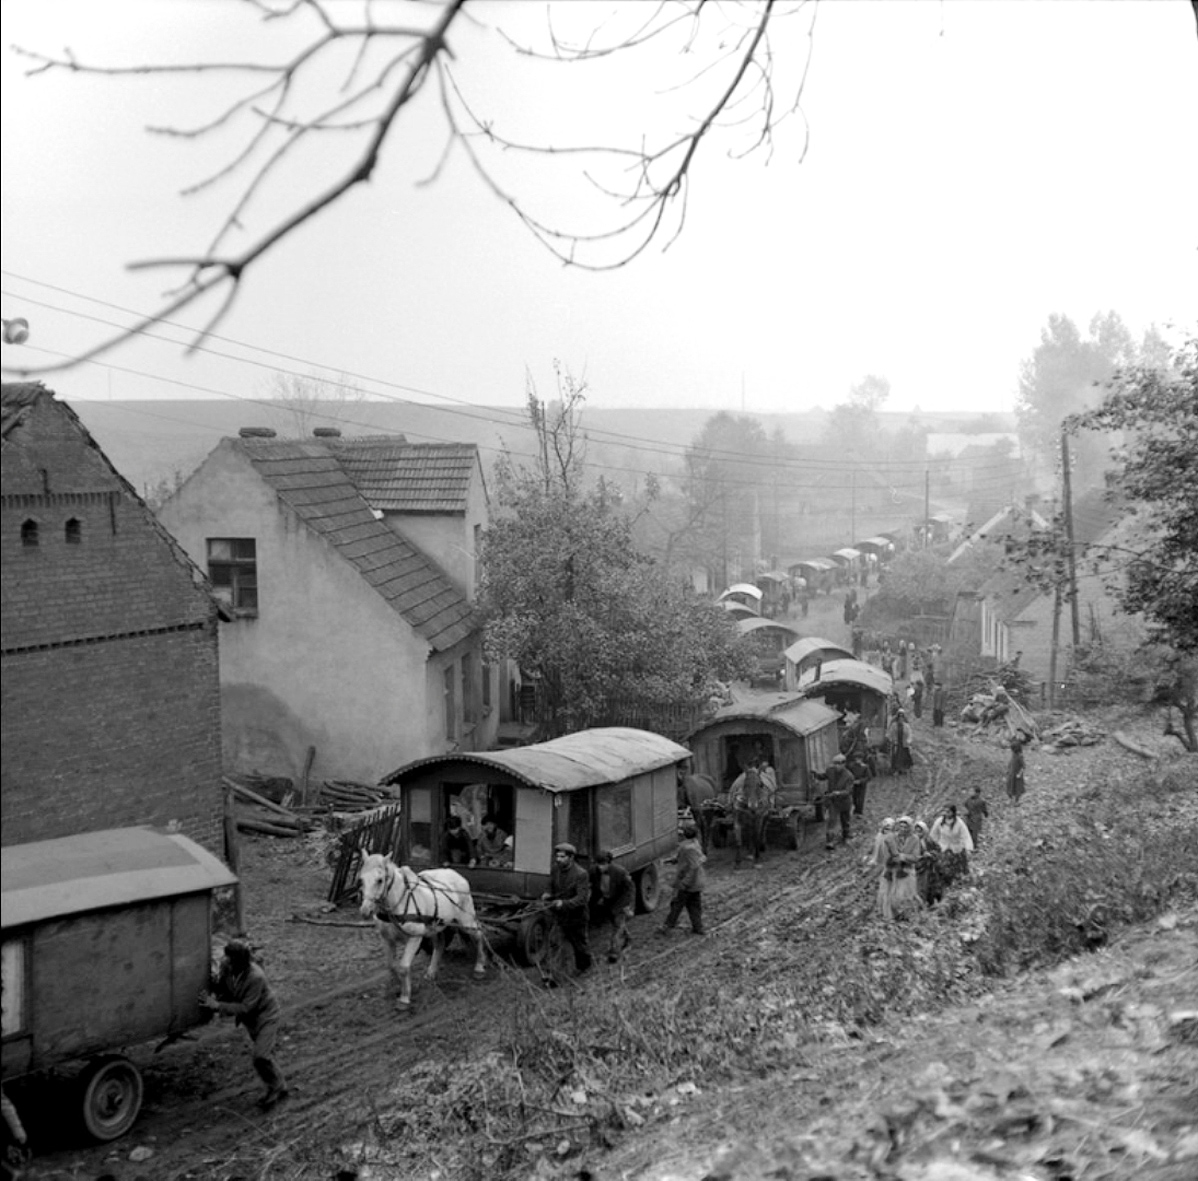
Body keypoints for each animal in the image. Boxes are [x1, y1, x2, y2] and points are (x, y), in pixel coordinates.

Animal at [357, 852, 483, 1006]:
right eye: (361, 879)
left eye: (380, 880)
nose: (365, 911)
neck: (397, 905)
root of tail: (457, 875)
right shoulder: (387, 939)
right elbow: (391, 965)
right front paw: (400, 986)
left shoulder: (415, 937)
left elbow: (404, 967)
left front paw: (404, 997)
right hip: (435, 926)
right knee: (440, 945)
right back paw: (431, 972)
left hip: (466, 920)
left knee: (478, 935)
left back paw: (479, 968)